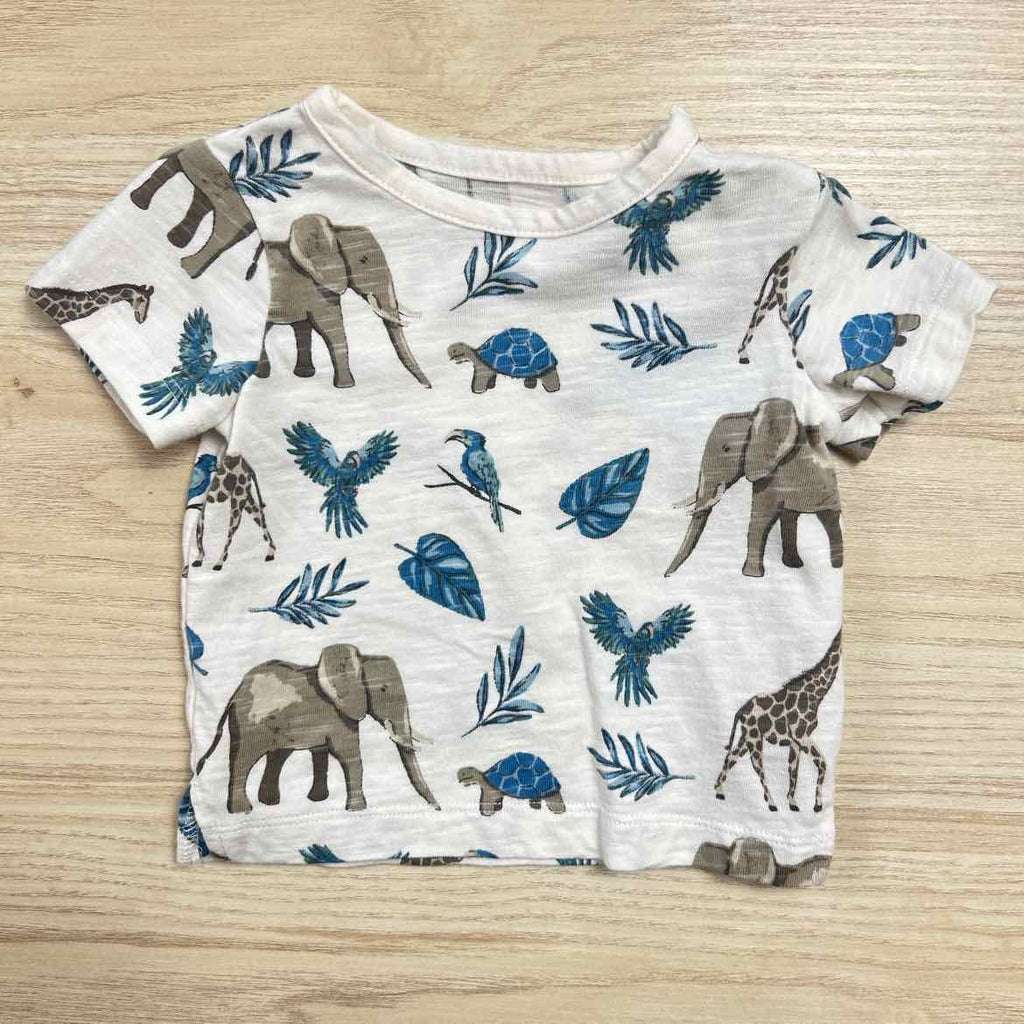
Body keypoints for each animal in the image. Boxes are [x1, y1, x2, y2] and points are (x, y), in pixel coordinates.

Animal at [194, 643, 441, 814]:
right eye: (383, 688)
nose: (437, 808)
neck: (357, 662)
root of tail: (235, 694)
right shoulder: (339, 715)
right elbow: (349, 756)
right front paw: (357, 810)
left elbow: (321, 753)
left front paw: (318, 800)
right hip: (249, 725)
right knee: (243, 761)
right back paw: (242, 811)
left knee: (277, 756)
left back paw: (269, 803)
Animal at [255, 213, 432, 390]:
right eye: (363, 259)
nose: (428, 387)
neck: (334, 233)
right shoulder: (318, 289)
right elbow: (331, 328)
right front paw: (347, 386)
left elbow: (304, 327)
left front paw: (305, 375)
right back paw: (262, 375)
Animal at [664, 397, 843, 578]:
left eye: (726, 449)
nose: (666, 576)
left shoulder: (772, 475)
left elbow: (761, 516)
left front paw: (750, 575)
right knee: (790, 517)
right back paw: (795, 565)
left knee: (830, 520)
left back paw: (836, 566)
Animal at [715, 630, 842, 813]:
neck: (814, 694)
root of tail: (741, 710)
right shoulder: (801, 735)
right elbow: (822, 763)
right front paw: (817, 805)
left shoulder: (795, 741)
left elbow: (793, 770)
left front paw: (792, 802)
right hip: (754, 739)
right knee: (758, 767)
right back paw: (771, 803)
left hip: (746, 737)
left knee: (731, 757)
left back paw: (719, 791)